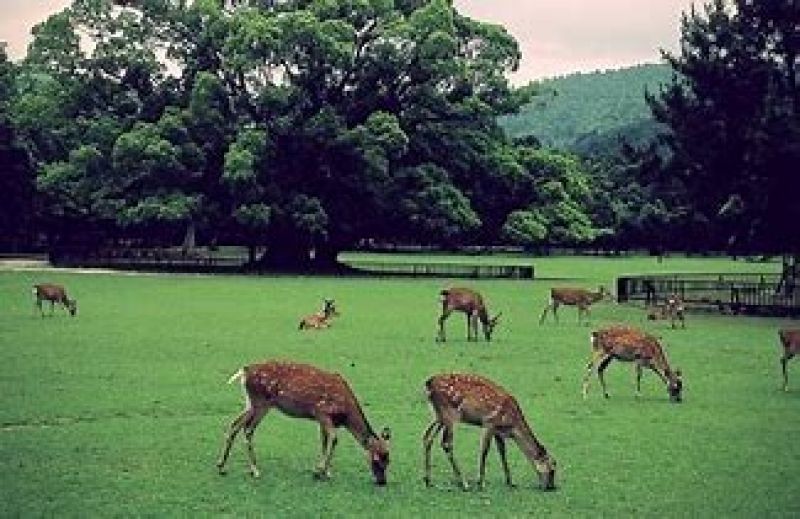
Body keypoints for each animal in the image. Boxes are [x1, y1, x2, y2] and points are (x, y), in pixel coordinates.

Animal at [418, 374, 556, 492]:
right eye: (552, 469)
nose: (551, 487)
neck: (511, 426)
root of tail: (428, 383)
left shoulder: (497, 431)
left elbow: (502, 452)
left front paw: (510, 482)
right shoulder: (489, 423)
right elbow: (485, 450)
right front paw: (481, 483)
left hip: (438, 415)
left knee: (427, 436)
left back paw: (428, 481)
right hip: (449, 414)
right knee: (446, 443)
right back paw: (464, 484)